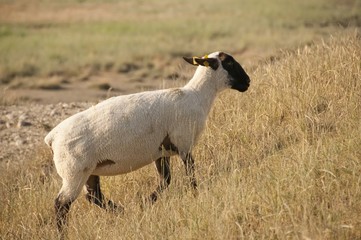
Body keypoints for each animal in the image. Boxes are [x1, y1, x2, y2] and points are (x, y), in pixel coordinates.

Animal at [44, 50, 248, 232]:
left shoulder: (161, 151)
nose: (248, 82)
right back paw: (63, 232)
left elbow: (166, 180)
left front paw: (145, 204)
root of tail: (52, 137)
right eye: (229, 62)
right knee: (61, 204)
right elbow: (190, 176)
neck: (196, 96)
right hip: (73, 172)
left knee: (94, 196)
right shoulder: (184, 144)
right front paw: (195, 196)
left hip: (89, 170)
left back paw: (123, 211)